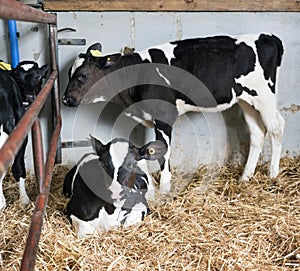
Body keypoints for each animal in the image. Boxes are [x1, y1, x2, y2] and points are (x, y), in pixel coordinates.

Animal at [62, 34, 284, 194]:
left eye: (83, 75)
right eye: (68, 73)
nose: (65, 99)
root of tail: (269, 37)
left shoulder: (165, 115)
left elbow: (162, 151)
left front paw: (164, 187)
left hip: (264, 96)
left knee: (276, 127)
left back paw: (272, 174)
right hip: (246, 101)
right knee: (258, 133)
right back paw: (245, 176)